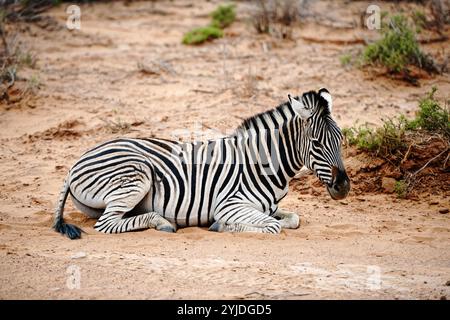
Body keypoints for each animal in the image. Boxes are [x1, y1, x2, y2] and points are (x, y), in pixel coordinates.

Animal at [53, 87, 352, 238]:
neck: (264, 164)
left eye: (341, 139)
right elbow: (273, 226)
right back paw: (162, 222)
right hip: (136, 175)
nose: (344, 187)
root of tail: (74, 164)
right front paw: (222, 226)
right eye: (317, 143)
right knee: (107, 224)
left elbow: (293, 219)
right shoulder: (230, 204)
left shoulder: (269, 208)